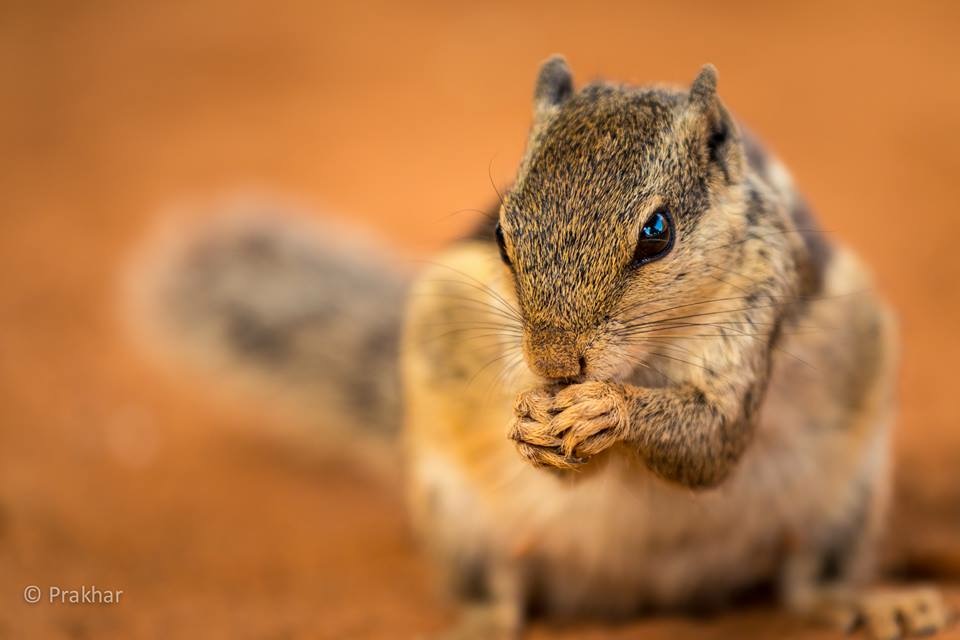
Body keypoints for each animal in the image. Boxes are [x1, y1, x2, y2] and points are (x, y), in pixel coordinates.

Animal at [134, 57, 951, 639]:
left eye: (658, 233)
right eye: (501, 231)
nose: (557, 367)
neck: (645, 358)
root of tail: (646, 593)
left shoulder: (760, 303)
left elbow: (714, 437)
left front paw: (606, 412)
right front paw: (532, 423)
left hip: (846, 497)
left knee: (812, 582)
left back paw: (878, 606)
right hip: (455, 513)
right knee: (500, 597)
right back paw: (472, 624)